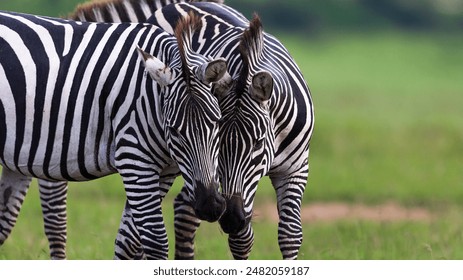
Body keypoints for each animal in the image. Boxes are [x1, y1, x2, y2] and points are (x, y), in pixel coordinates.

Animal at [0, 10, 227, 260]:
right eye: (175, 130)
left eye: (217, 122)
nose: (210, 206)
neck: (149, 95)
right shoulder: (134, 158)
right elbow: (155, 241)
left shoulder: (165, 171)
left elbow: (128, 243)